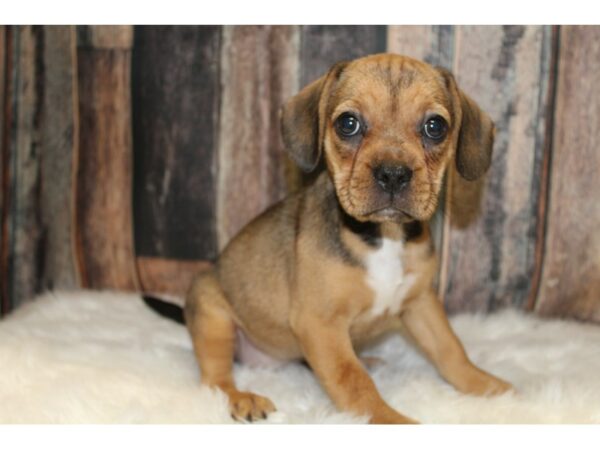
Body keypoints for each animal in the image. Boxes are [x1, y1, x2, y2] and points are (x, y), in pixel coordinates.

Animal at [148, 54, 508, 424]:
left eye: (435, 127)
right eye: (348, 123)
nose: (393, 173)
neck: (383, 237)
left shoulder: (422, 303)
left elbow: (451, 350)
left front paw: (485, 385)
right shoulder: (321, 324)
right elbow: (351, 378)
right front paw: (388, 418)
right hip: (213, 318)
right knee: (215, 379)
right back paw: (241, 397)